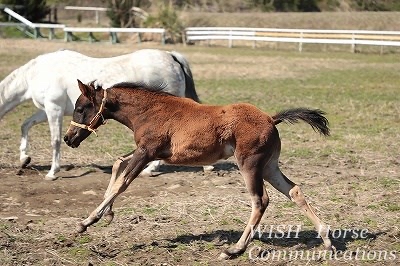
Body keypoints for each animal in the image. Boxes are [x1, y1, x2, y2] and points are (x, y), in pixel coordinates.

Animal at [0, 48, 200, 180]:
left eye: (81, 109)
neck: (38, 73)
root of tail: (171, 57)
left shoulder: (53, 109)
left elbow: (54, 141)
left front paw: (52, 172)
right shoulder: (45, 110)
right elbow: (25, 125)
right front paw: (24, 158)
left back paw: (150, 169)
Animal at [64, 81, 334, 260]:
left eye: (82, 107)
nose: (68, 138)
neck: (149, 111)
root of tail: (270, 118)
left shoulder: (146, 152)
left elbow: (122, 182)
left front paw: (86, 221)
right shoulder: (148, 152)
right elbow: (118, 162)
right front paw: (107, 214)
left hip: (250, 164)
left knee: (260, 200)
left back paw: (234, 249)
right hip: (269, 166)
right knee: (294, 191)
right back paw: (327, 240)